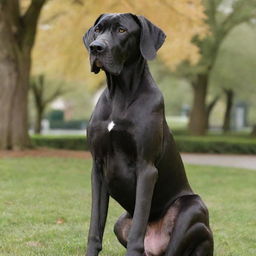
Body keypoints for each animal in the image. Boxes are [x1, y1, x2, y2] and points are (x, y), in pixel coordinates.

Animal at [83, 14, 213, 256]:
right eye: (97, 30)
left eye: (122, 30)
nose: (96, 47)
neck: (120, 93)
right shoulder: (97, 168)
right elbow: (95, 228)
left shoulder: (146, 168)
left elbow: (137, 233)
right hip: (121, 222)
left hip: (192, 209)